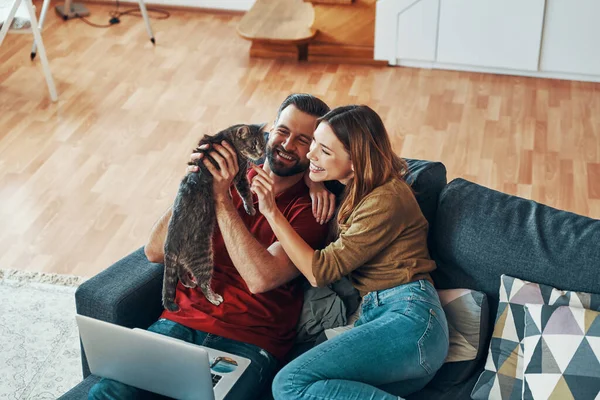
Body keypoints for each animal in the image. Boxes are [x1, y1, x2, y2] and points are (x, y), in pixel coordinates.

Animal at [164, 123, 268, 310]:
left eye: (262, 144)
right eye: (253, 145)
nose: (260, 153)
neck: (227, 137)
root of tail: (170, 243)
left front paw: (230, 197)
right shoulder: (240, 175)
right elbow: (246, 194)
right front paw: (250, 208)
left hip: (184, 259)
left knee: (181, 272)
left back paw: (189, 283)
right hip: (203, 256)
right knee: (203, 283)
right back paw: (213, 297)